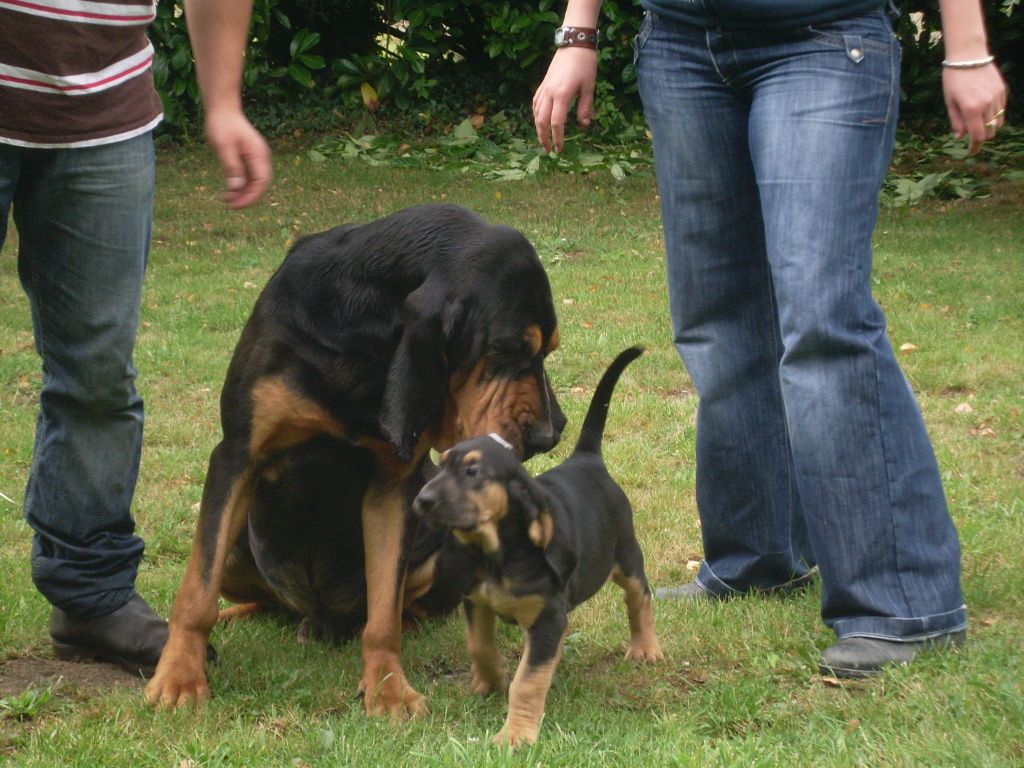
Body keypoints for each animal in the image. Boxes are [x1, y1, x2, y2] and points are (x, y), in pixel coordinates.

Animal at [146, 202, 569, 716]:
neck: (367, 334)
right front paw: (180, 676)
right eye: (509, 349)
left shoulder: (395, 484)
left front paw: (388, 689)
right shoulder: (237, 456)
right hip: (238, 551)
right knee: (257, 598)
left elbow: (383, 612)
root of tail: (319, 619)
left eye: (547, 349)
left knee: (402, 606)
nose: (551, 433)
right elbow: (196, 591)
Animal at [413, 348, 663, 745]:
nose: (421, 500)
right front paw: (490, 680)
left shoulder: (546, 616)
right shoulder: (477, 601)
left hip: (625, 555)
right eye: (442, 463)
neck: (499, 554)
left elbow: (528, 682)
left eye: (473, 472)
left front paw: (516, 736)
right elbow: (479, 646)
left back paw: (645, 647)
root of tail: (587, 458)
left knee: (639, 597)